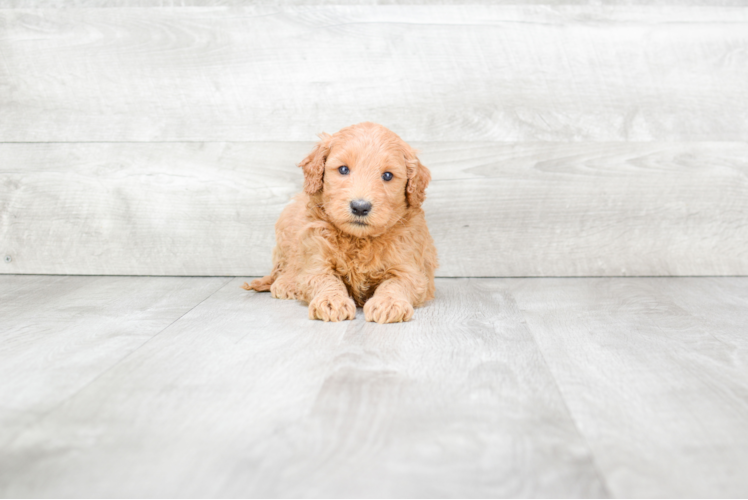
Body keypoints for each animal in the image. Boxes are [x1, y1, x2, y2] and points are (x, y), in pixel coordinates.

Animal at [243, 123, 436, 322]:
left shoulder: (410, 268)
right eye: (343, 169)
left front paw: (388, 303)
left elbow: (396, 283)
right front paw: (331, 301)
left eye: (388, 175)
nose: (360, 207)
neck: (359, 239)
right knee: (288, 263)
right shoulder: (317, 257)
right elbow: (326, 279)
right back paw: (288, 283)